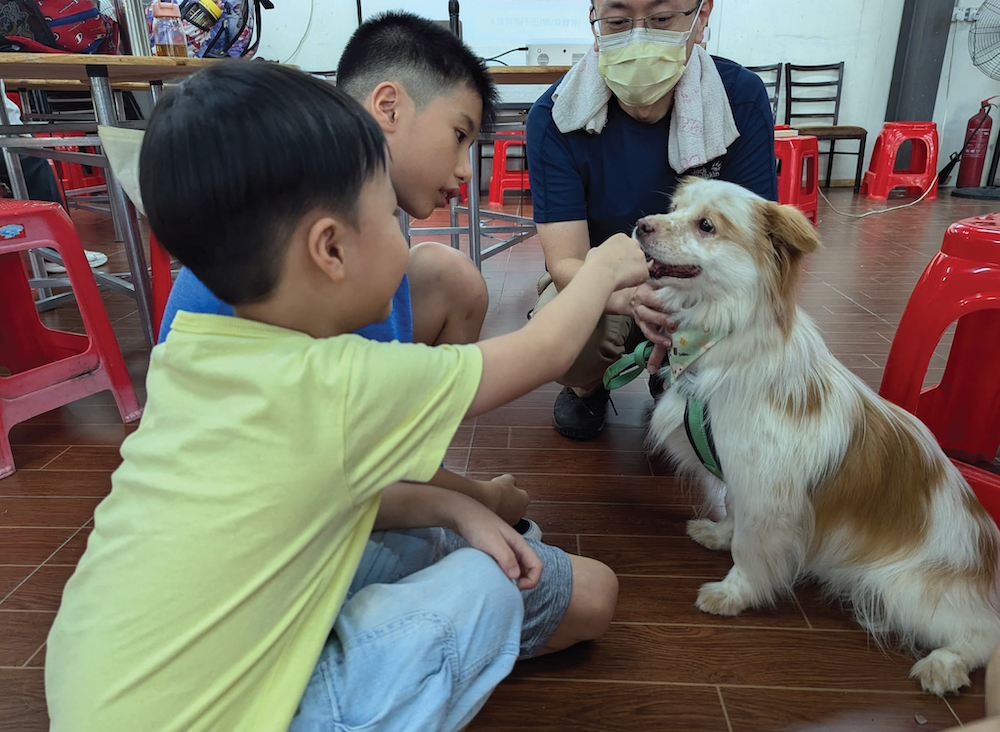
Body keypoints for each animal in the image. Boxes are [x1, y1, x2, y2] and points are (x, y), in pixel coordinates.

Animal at [640, 176, 1000, 692]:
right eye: (673, 208)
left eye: (706, 225)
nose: (640, 225)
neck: (718, 340)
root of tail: (987, 551)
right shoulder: (745, 478)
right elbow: (733, 512)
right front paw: (718, 533)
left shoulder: (769, 494)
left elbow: (750, 548)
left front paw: (732, 594)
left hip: (907, 589)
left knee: (984, 632)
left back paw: (943, 665)